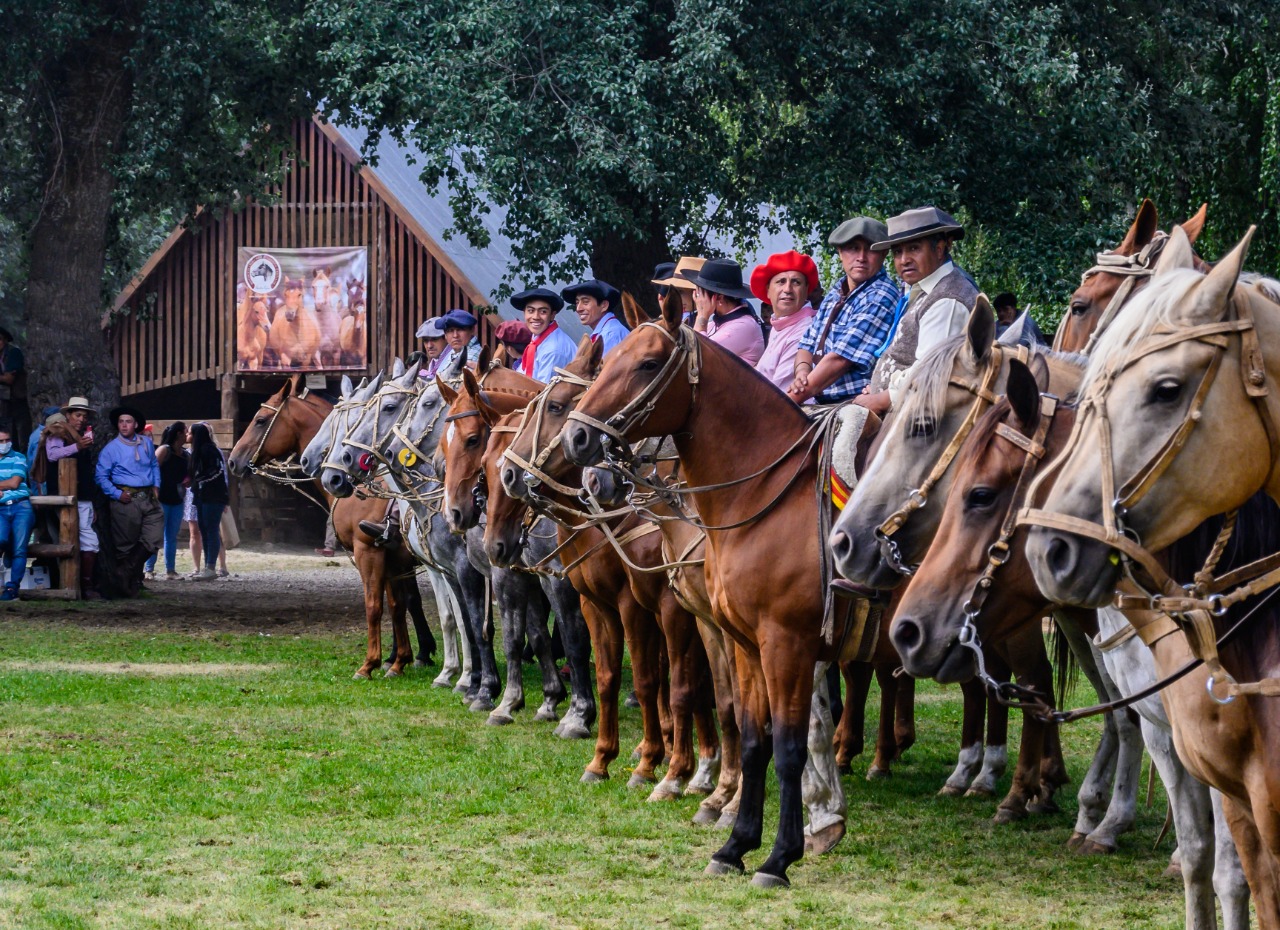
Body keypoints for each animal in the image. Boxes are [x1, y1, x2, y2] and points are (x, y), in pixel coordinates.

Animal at [230, 373, 445, 680]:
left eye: (260, 420)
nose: (233, 460)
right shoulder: (394, 559)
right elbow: (400, 604)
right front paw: (401, 658)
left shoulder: (369, 552)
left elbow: (375, 605)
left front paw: (372, 663)